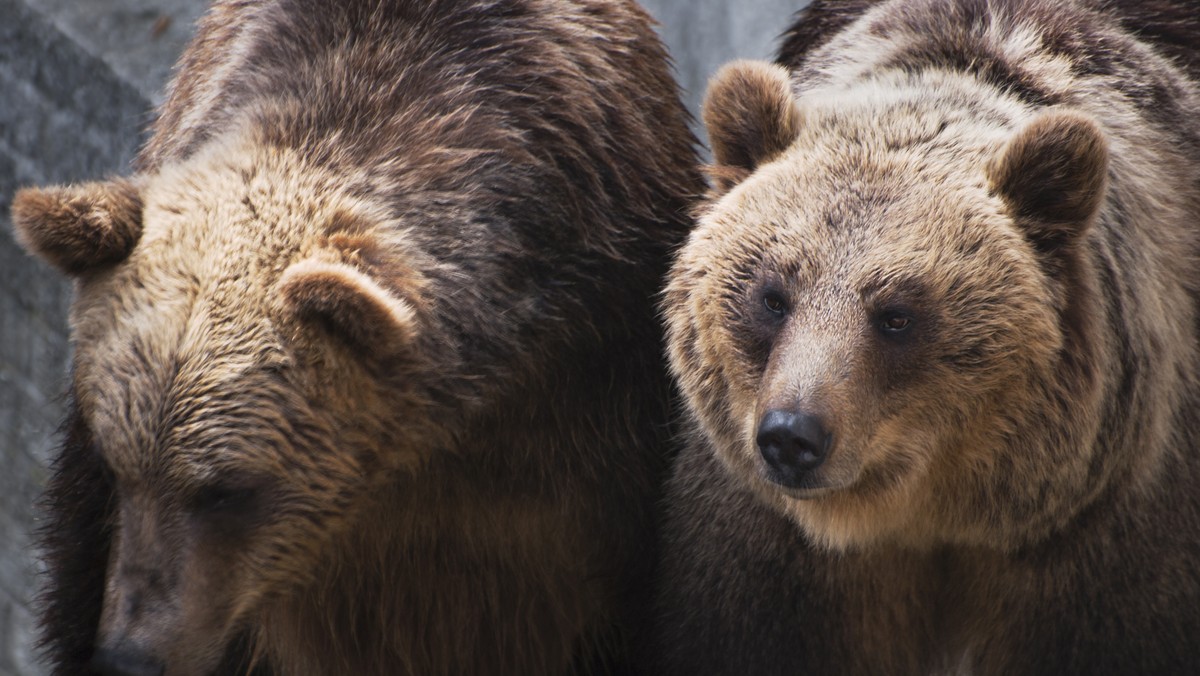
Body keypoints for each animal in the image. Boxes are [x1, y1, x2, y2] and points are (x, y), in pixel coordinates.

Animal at [652, 1, 1200, 676]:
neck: (922, 519)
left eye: (896, 315)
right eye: (773, 296)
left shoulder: (1098, 537)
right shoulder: (776, 558)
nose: (792, 436)